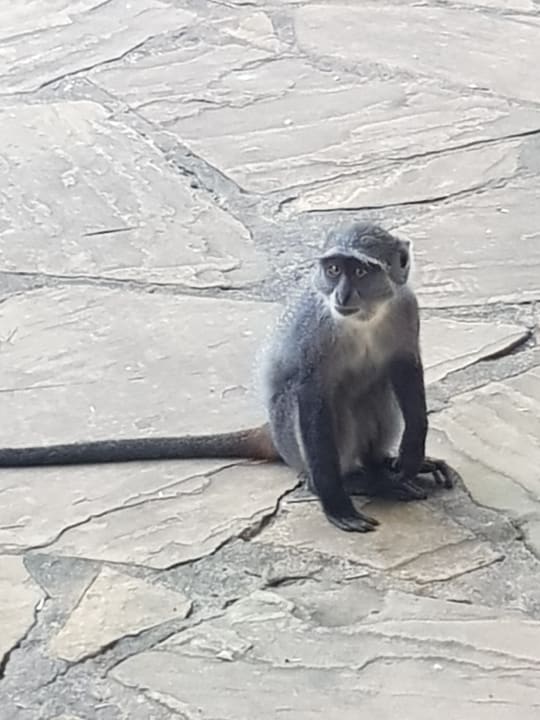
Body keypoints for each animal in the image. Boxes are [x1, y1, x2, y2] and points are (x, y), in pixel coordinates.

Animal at [0, 222, 456, 532]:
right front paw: (335, 501)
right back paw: (358, 480)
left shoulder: (405, 309)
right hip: (291, 436)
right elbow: (309, 391)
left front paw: (411, 453)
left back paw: (382, 469)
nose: (342, 294)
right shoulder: (313, 332)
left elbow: (404, 371)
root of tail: (271, 432)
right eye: (333, 269)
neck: (364, 319)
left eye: (360, 272)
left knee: (376, 388)